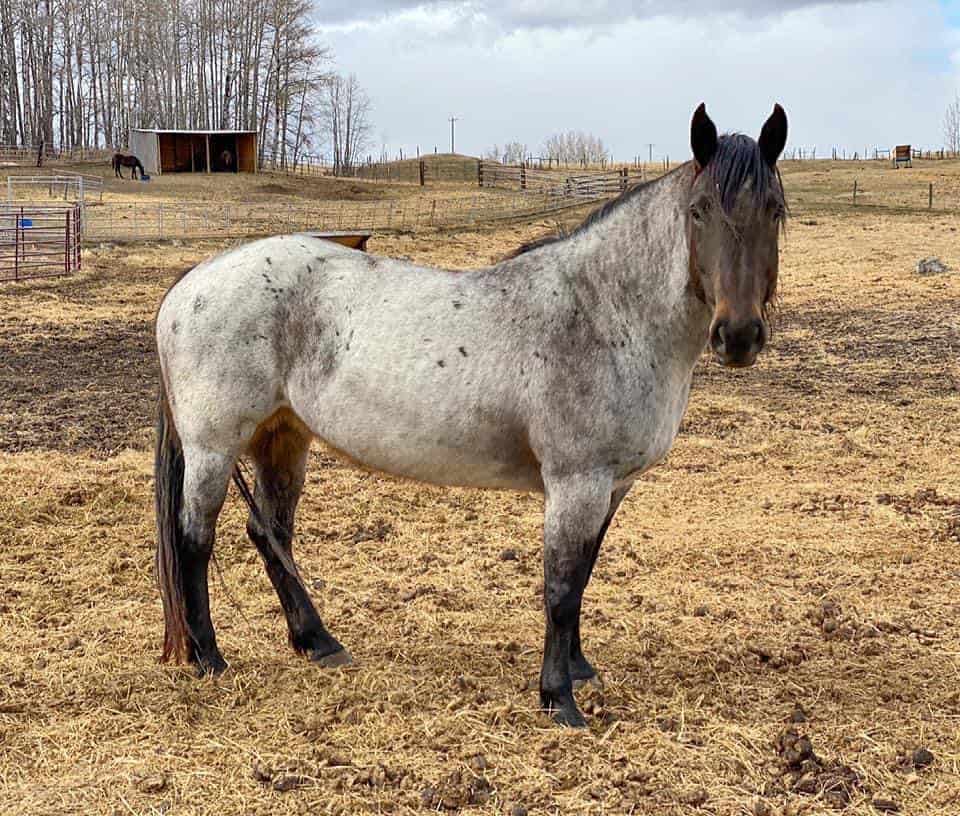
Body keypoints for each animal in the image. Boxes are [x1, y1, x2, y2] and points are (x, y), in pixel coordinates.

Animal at [154, 103, 788, 727]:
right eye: (699, 212)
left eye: (775, 210)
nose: (738, 336)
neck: (604, 311)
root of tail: (189, 284)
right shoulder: (576, 483)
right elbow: (560, 588)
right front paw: (558, 699)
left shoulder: (612, 487)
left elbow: (582, 576)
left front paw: (580, 670)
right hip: (215, 447)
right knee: (195, 539)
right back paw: (209, 657)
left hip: (283, 437)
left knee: (269, 532)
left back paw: (318, 642)